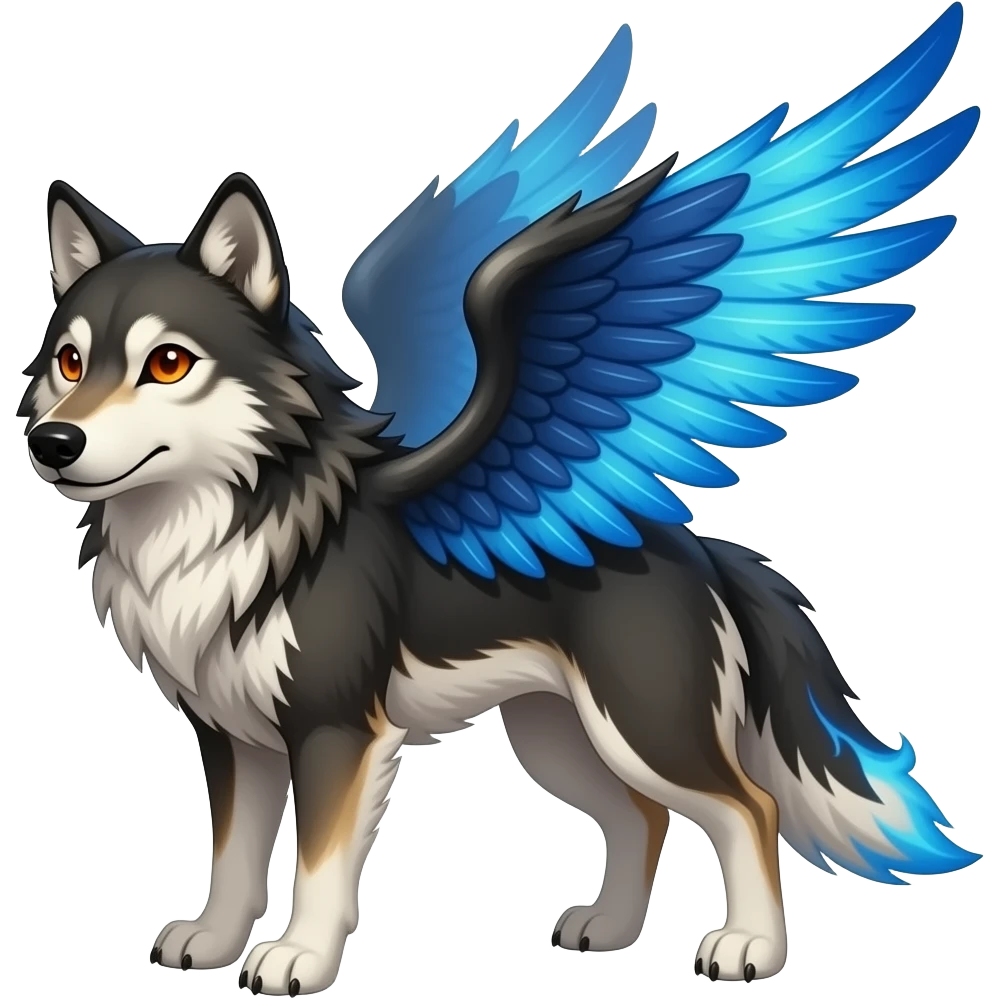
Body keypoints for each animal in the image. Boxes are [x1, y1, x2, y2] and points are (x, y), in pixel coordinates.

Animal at [18, 4, 982, 995]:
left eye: (168, 362)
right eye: (70, 361)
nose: (51, 443)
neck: (221, 518)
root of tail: (693, 544)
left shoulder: (334, 730)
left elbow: (318, 862)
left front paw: (298, 957)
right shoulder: (232, 737)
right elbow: (233, 855)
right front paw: (213, 942)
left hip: (638, 723)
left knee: (745, 806)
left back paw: (749, 946)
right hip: (557, 735)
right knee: (641, 814)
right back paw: (609, 927)